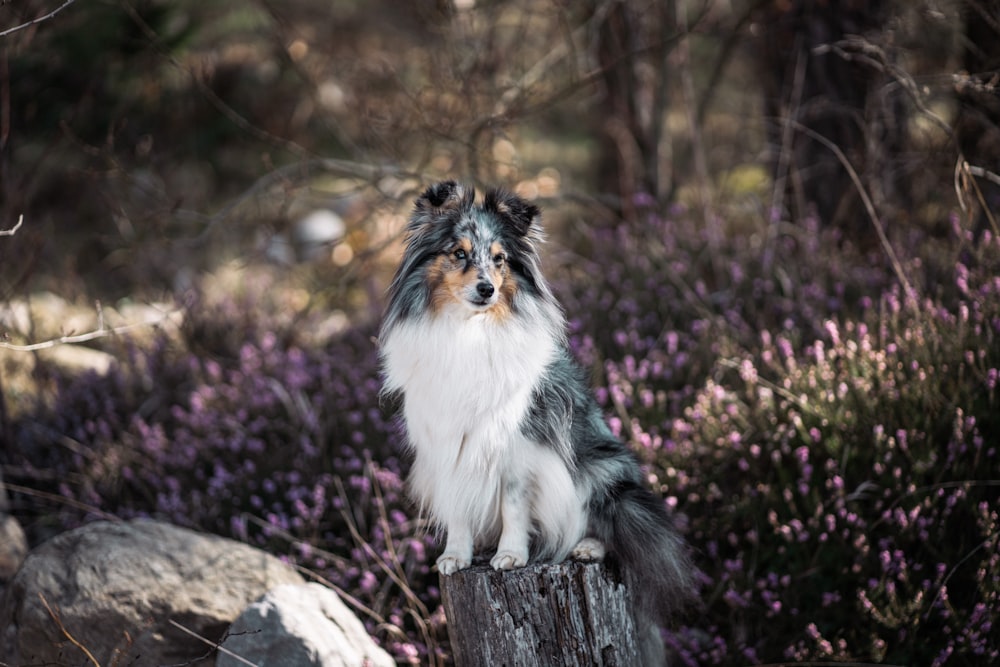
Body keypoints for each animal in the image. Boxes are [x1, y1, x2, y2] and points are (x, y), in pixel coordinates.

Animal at [378, 183, 700, 640]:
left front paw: (512, 555)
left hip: (604, 467)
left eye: (499, 258)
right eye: (458, 253)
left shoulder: (518, 449)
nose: (487, 290)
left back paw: (585, 547)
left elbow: (514, 506)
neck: (468, 330)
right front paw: (455, 555)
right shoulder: (446, 444)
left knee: (605, 525)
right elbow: (458, 505)